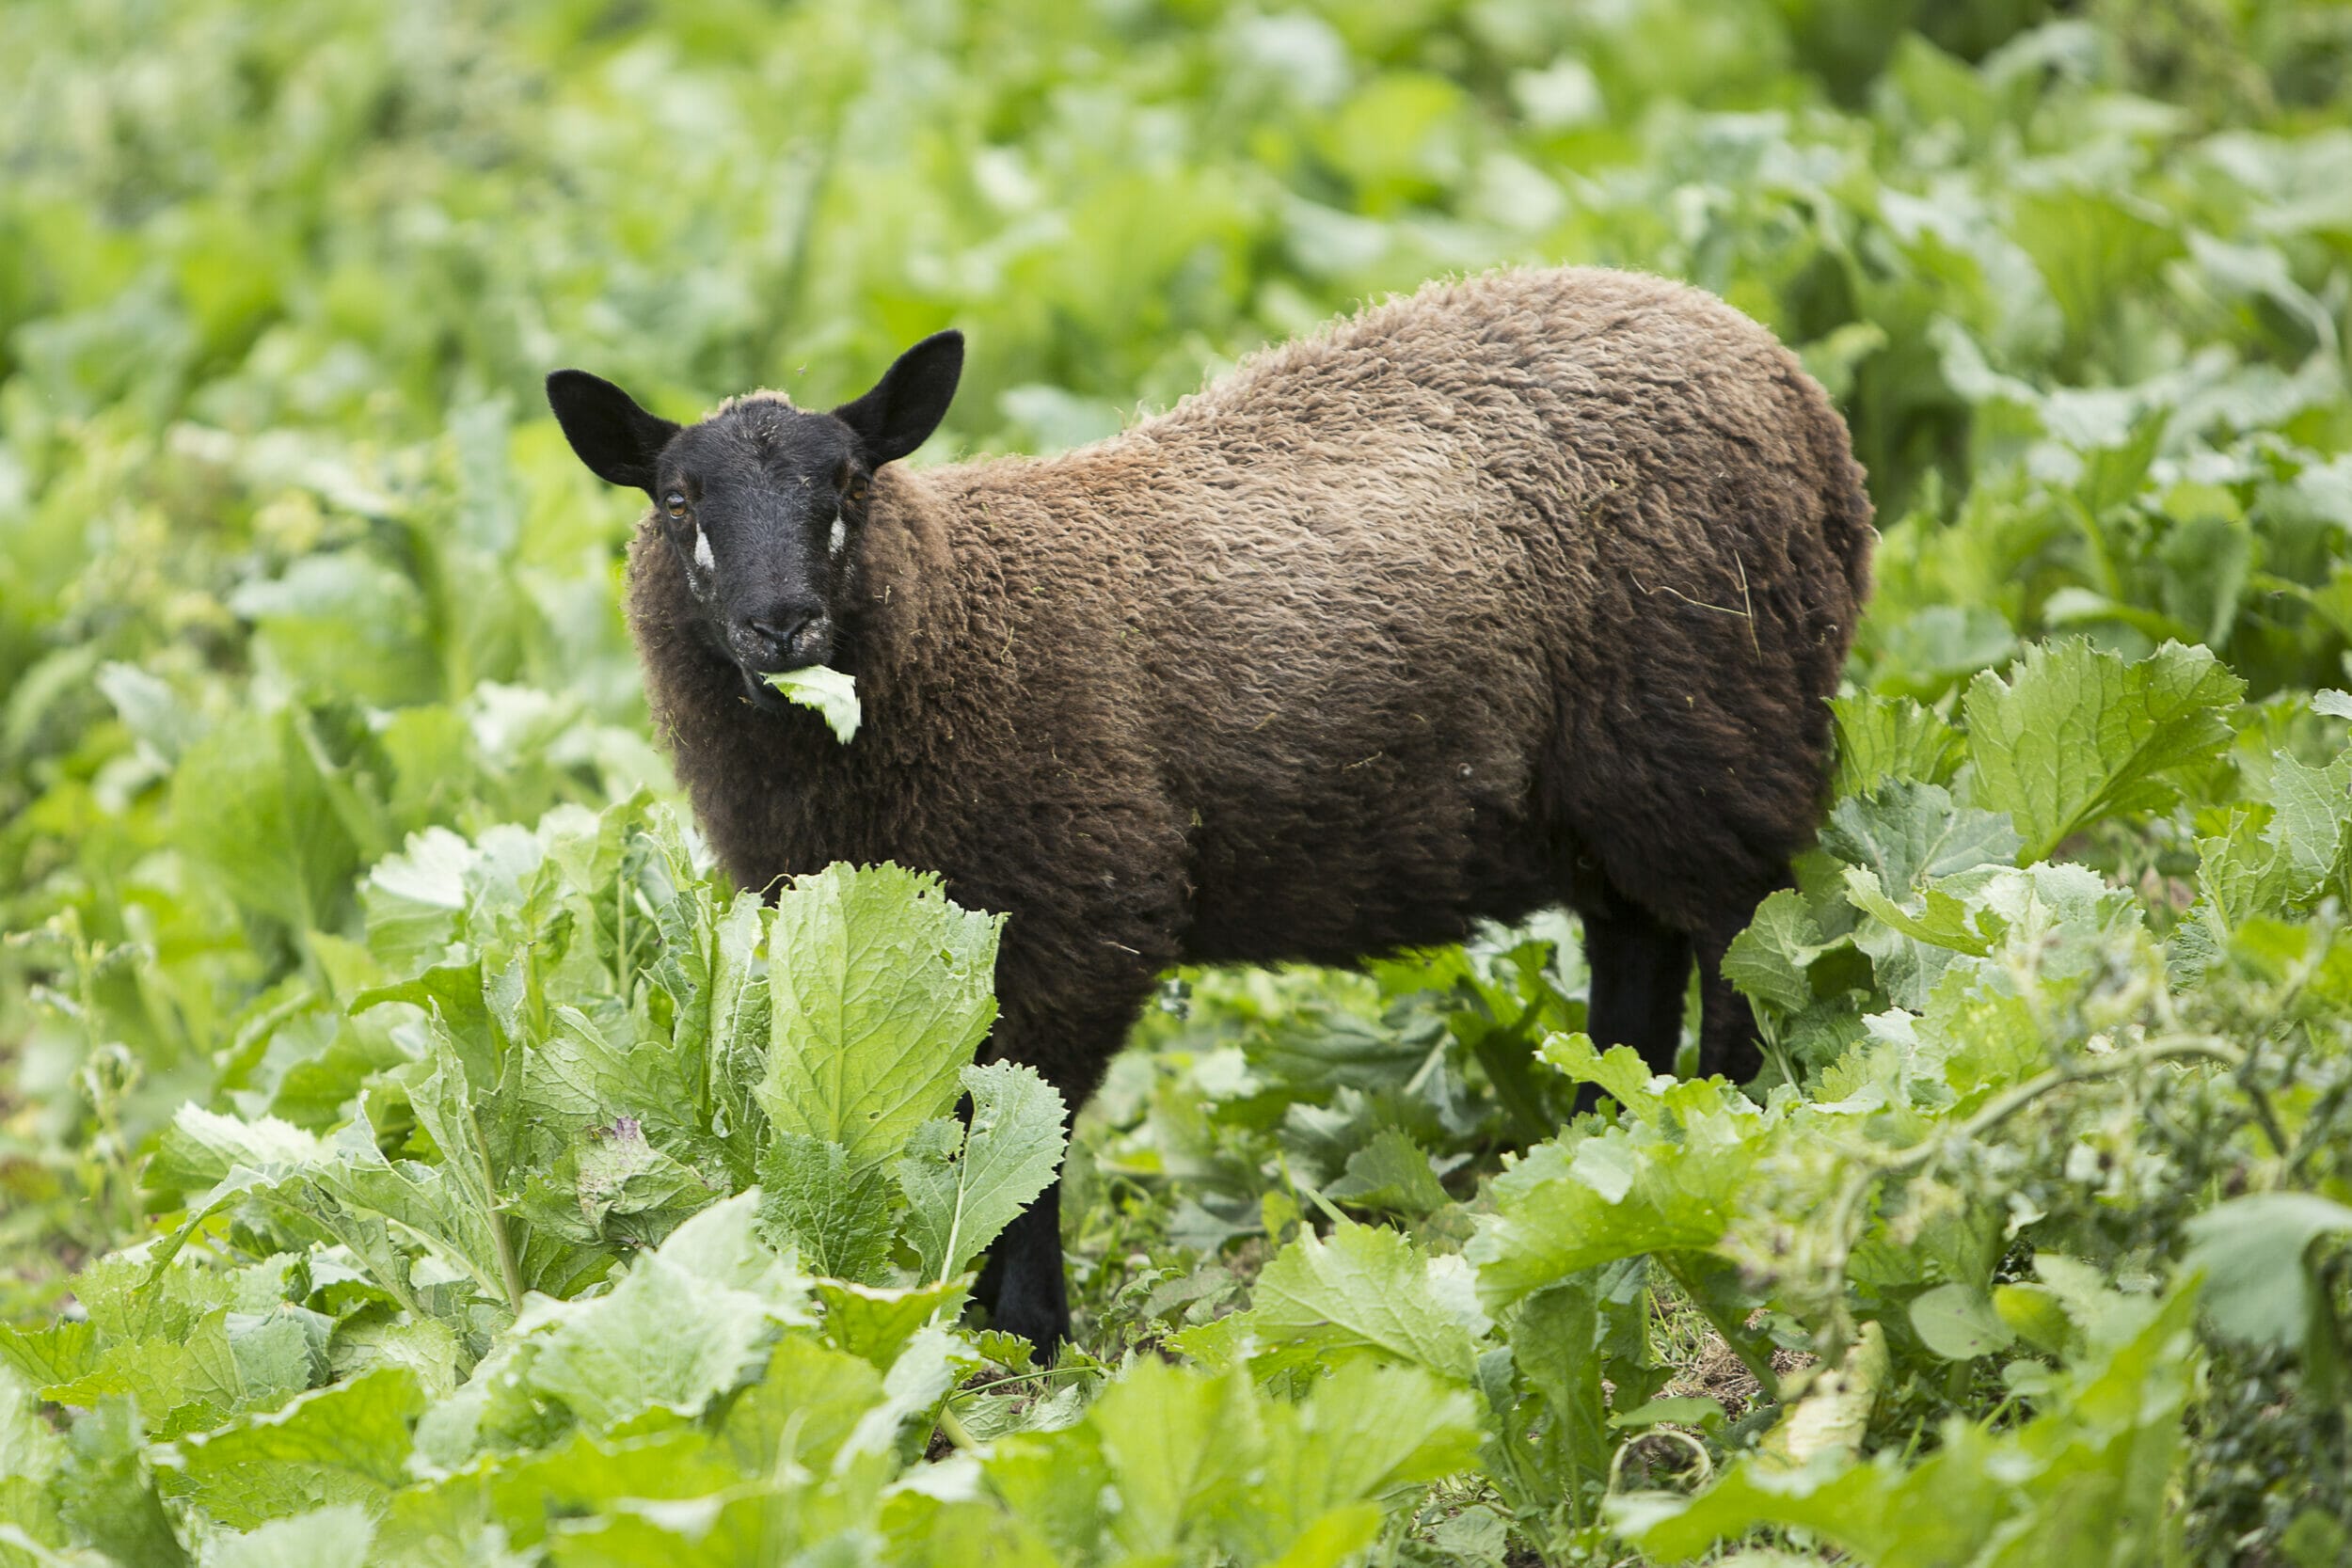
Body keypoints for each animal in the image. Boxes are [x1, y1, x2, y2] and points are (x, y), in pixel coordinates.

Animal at [546, 262, 1872, 1344]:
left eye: (850, 482)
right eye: (676, 501)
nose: (782, 626)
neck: (964, 618)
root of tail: (1791, 386)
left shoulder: (1084, 912)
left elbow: (1026, 1134)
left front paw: (1026, 1334)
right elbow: (975, 1126)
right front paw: (965, 1321)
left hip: (1712, 745)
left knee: (1740, 953)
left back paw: (1723, 1130)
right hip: (1613, 799)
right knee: (1636, 966)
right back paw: (1601, 1149)